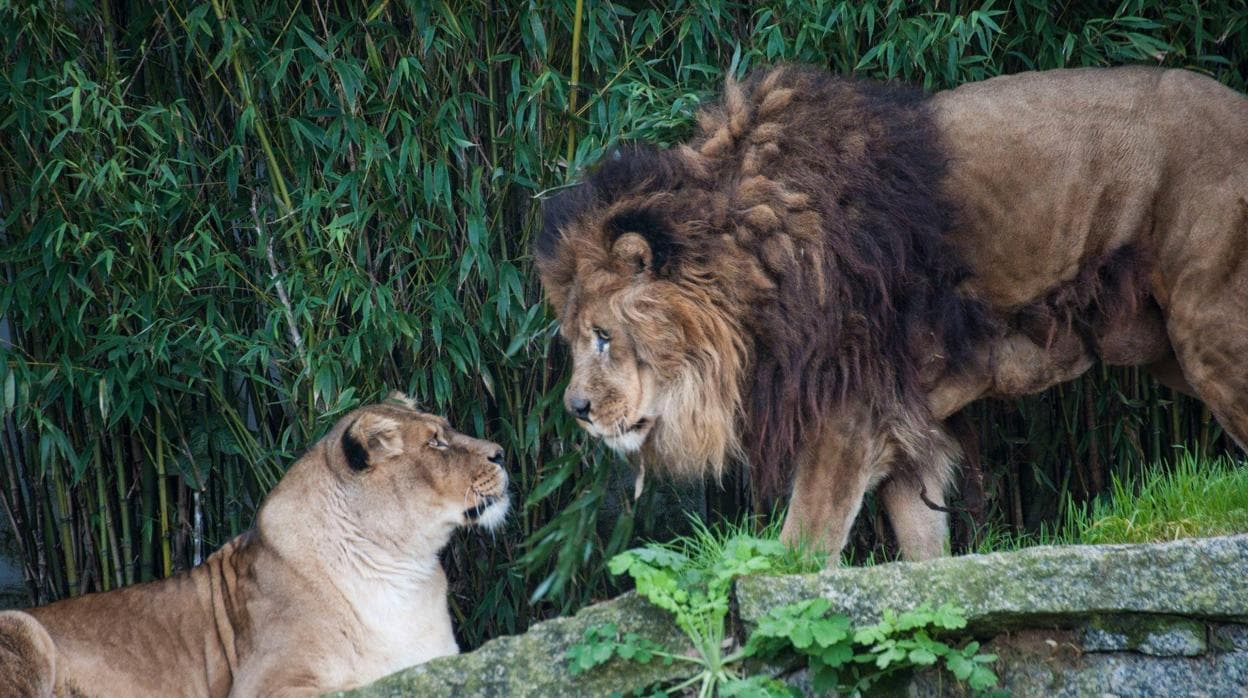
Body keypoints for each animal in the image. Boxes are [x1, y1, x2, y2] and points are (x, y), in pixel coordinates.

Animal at [0, 399, 511, 698]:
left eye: (445, 429)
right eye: (436, 443)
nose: (502, 452)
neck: (401, 567)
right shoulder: (264, 685)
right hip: (23, 627)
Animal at [539, 65, 1248, 564]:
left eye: (603, 336)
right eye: (573, 338)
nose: (576, 410)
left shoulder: (848, 417)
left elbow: (802, 547)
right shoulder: (906, 432)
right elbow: (925, 554)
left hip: (1211, 332)